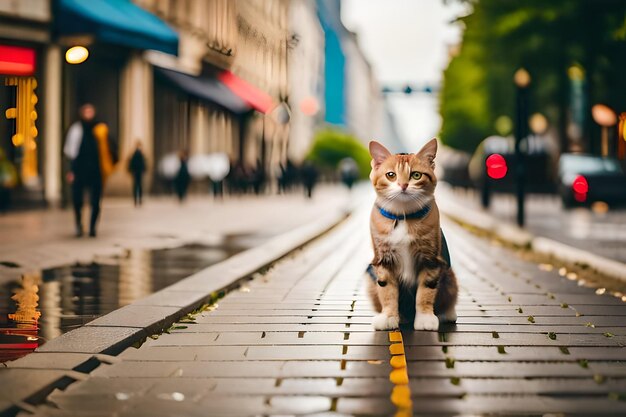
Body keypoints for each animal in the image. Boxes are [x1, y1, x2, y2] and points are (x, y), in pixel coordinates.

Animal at [366, 138, 458, 330]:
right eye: (391, 175)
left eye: (416, 175)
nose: (403, 185)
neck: (403, 215)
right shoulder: (383, 259)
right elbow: (387, 290)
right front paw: (389, 316)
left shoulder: (430, 258)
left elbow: (426, 290)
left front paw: (425, 318)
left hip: (449, 276)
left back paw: (447, 313)